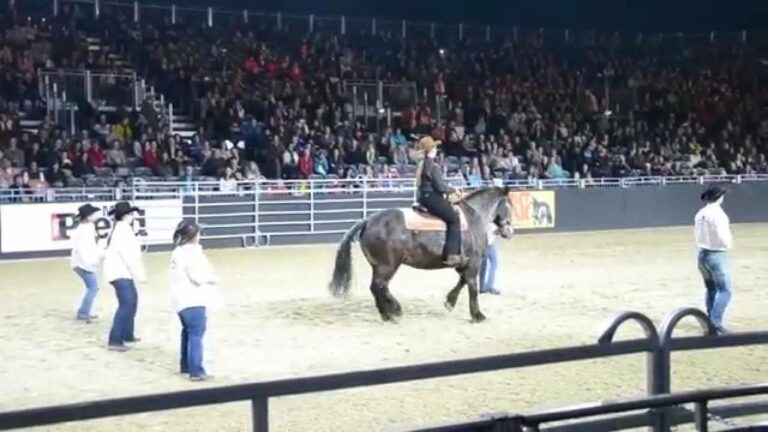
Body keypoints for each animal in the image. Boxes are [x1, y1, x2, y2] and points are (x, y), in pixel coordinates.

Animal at [328, 187, 512, 322]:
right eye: (509, 206)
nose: (509, 231)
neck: (474, 217)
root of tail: (368, 221)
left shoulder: (464, 264)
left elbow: (463, 281)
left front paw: (450, 302)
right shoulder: (473, 263)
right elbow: (472, 286)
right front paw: (477, 315)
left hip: (379, 266)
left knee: (379, 287)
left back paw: (387, 314)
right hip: (387, 266)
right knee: (378, 286)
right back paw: (394, 311)